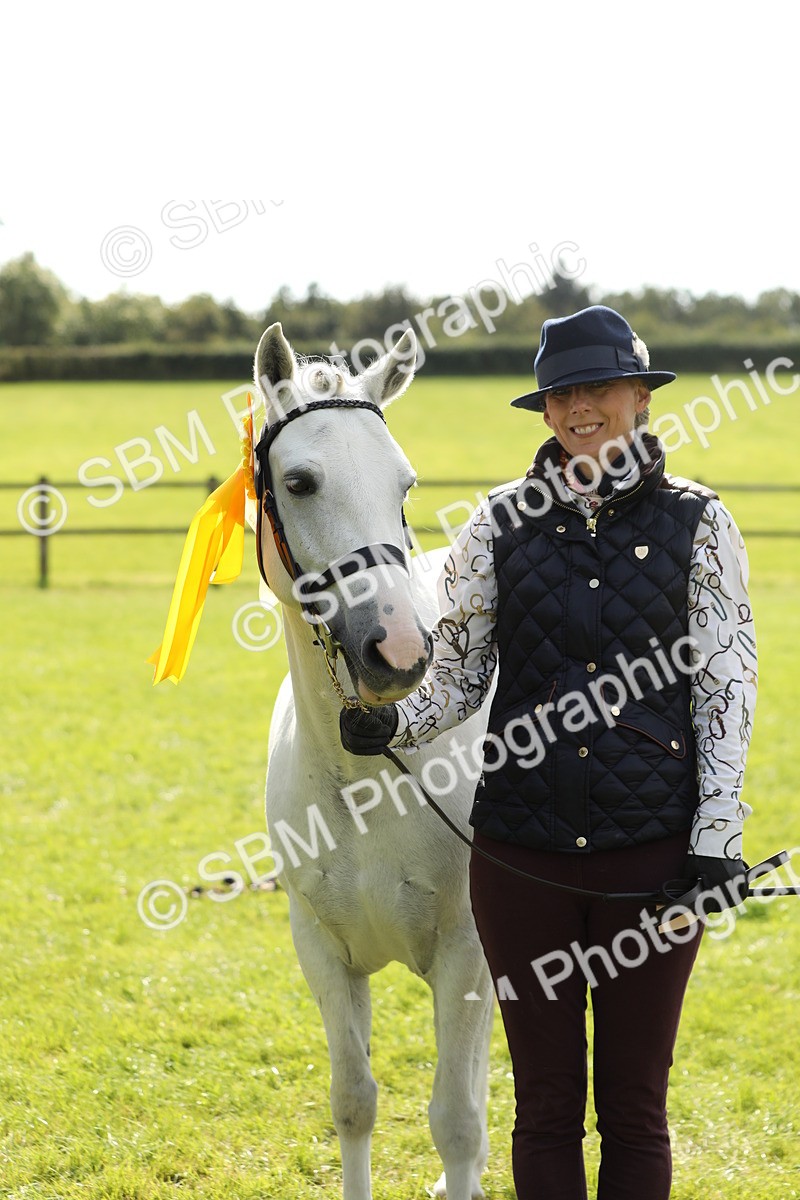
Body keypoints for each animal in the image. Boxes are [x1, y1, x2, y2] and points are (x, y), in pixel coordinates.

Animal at [252, 322, 494, 1200]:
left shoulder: (465, 952)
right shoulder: (323, 952)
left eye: (404, 483)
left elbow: (455, 1121)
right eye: (300, 480)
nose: (397, 652)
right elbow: (354, 1102)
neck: (366, 780)